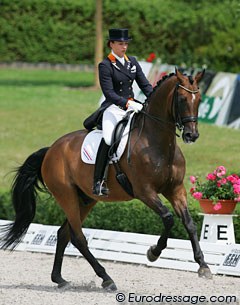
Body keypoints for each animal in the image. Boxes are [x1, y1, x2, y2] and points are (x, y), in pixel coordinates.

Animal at [0, 68, 212, 290]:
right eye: (181, 99)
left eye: (199, 99)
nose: (191, 135)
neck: (157, 142)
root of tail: (51, 150)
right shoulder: (145, 191)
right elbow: (168, 218)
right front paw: (153, 252)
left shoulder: (176, 189)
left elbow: (189, 223)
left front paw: (203, 266)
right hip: (66, 196)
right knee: (78, 237)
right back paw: (106, 278)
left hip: (86, 199)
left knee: (64, 233)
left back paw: (59, 279)